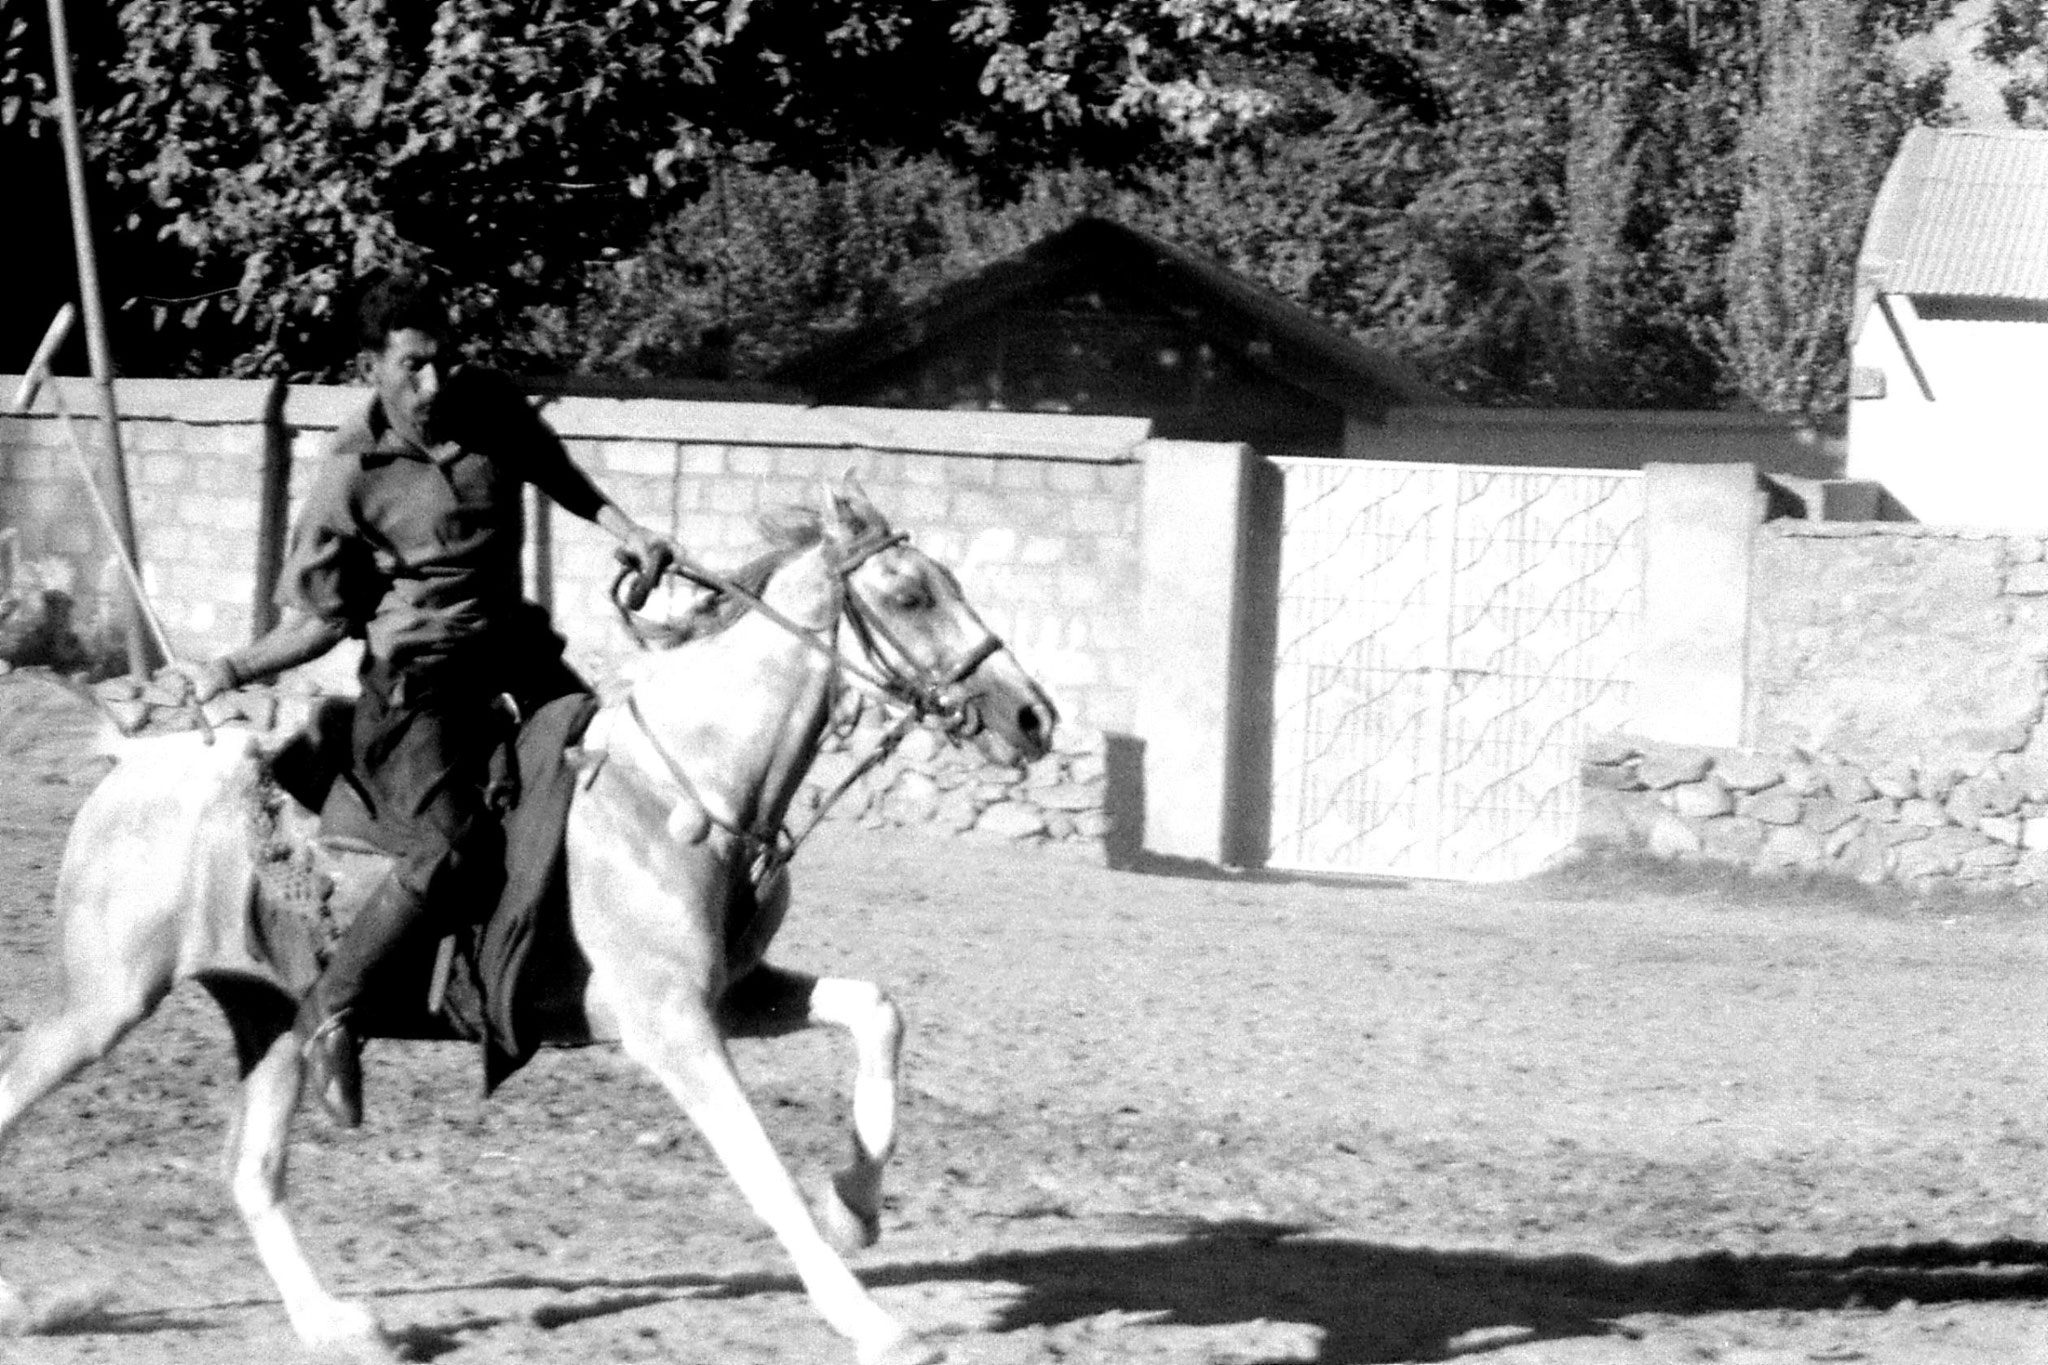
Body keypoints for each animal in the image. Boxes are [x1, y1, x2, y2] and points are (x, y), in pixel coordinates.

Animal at [0, 474, 1056, 1358]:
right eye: (910, 594)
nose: (1032, 716)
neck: (681, 789)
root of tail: (128, 758)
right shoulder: (672, 1024)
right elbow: (760, 1167)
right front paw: (869, 1315)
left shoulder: (734, 992)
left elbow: (876, 1011)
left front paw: (857, 1206)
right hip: (104, 1000)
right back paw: (29, 1302)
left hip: (272, 1015)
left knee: (251, 1170)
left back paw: (338, 1323)